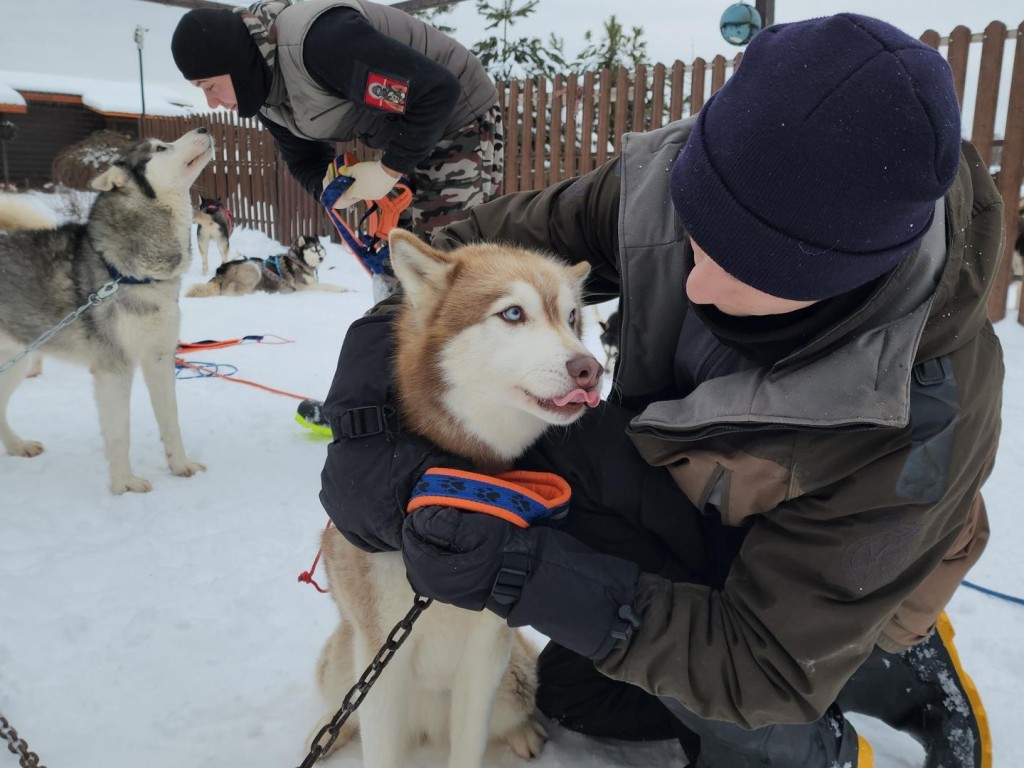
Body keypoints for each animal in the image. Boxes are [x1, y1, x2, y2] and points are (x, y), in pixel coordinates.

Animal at [0, 129, 214, 495]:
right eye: (161, 148)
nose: (201, 129)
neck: (128, 272)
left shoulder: (159, 358)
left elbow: (170, 421)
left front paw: (179, 465)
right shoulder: (114, 368)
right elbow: (119, 434)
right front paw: (124, 484)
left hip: (16, 362)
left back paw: (18, 446)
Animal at [184, 234, 344, 296]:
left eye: (320, 249)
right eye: (313, 250)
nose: (321, 258)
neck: (298, 260)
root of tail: (221, 269)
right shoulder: (304, 287)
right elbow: (327, 286)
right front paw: (342, 289)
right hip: (254, 268)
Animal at [307, 230, 602, 768]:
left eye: (572, 317)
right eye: (513, 313)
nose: (589, 369)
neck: (465, 477)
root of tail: (425, 729)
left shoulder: (486, 655)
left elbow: (469, 744)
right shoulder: (381, 656)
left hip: (515, 678)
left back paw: (524, 735)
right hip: (341, 661)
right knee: (345, 709)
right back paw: (328, 735)